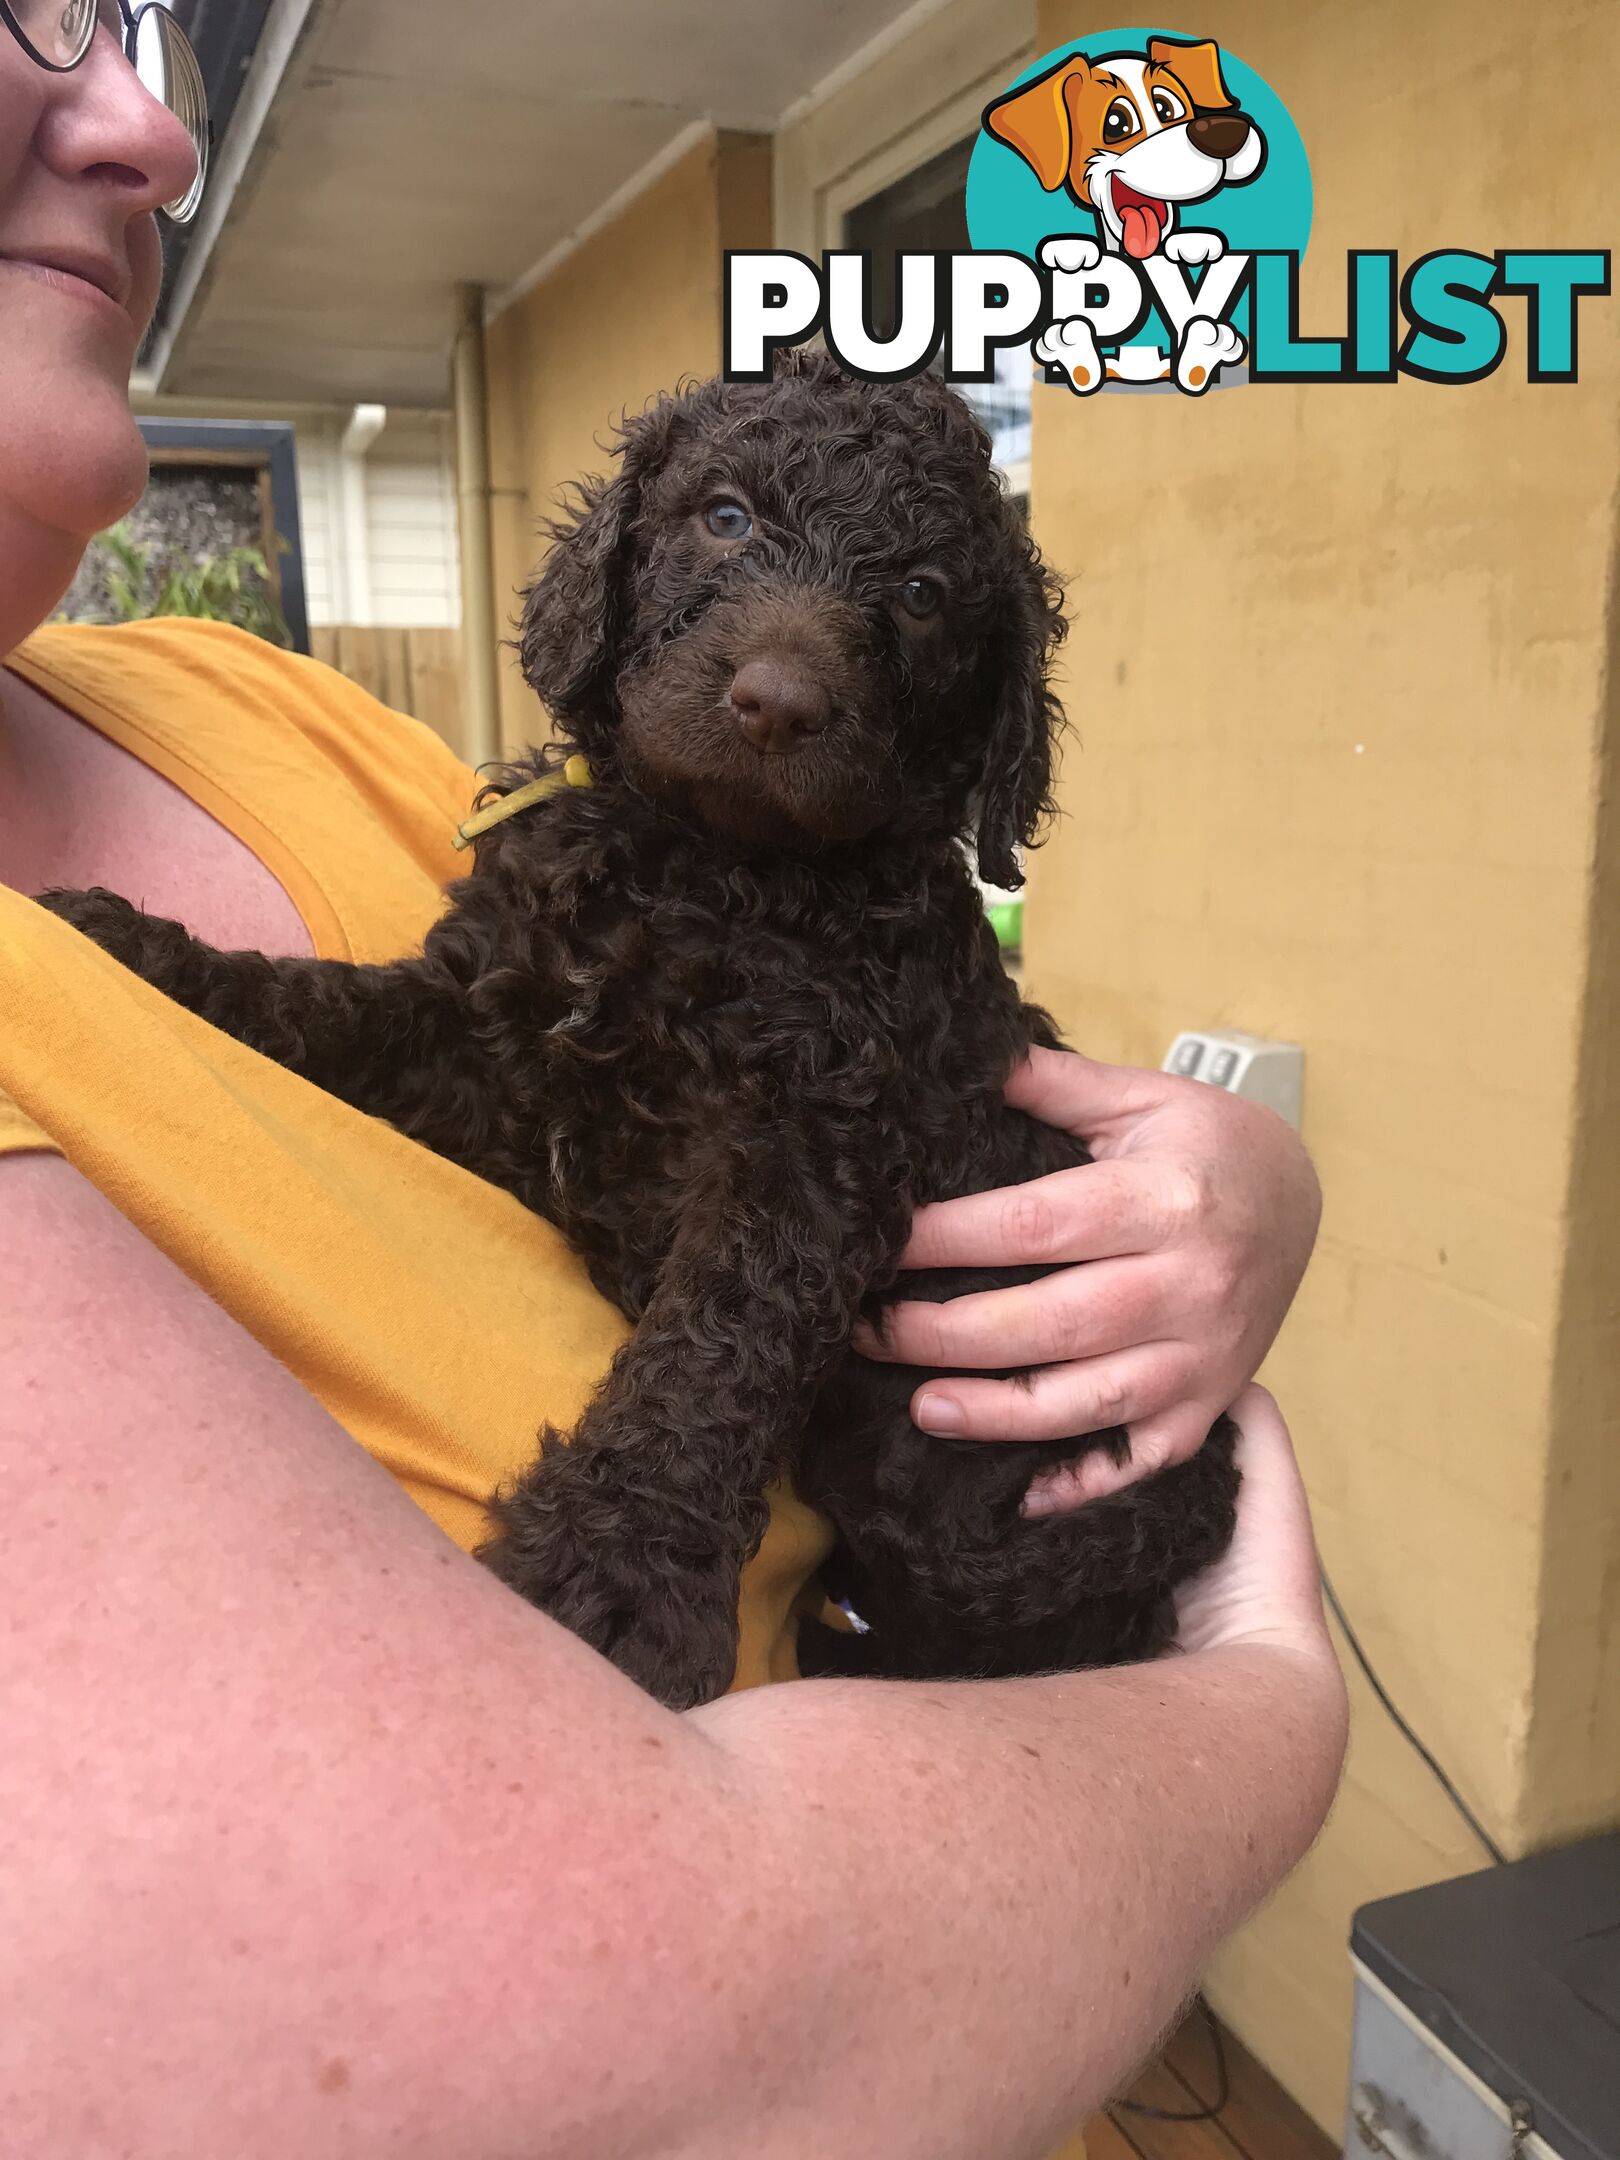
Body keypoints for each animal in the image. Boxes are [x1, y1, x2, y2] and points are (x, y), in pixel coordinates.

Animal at [41, 349, 1244, 1702]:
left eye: (925, 596)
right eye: (725, 517)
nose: (777, 704)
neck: (699, 868)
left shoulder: (807, 1151)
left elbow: (712, 1356)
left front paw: (614, 1574)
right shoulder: (491, 1040)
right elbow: (322, 1010)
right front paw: (135, 947)